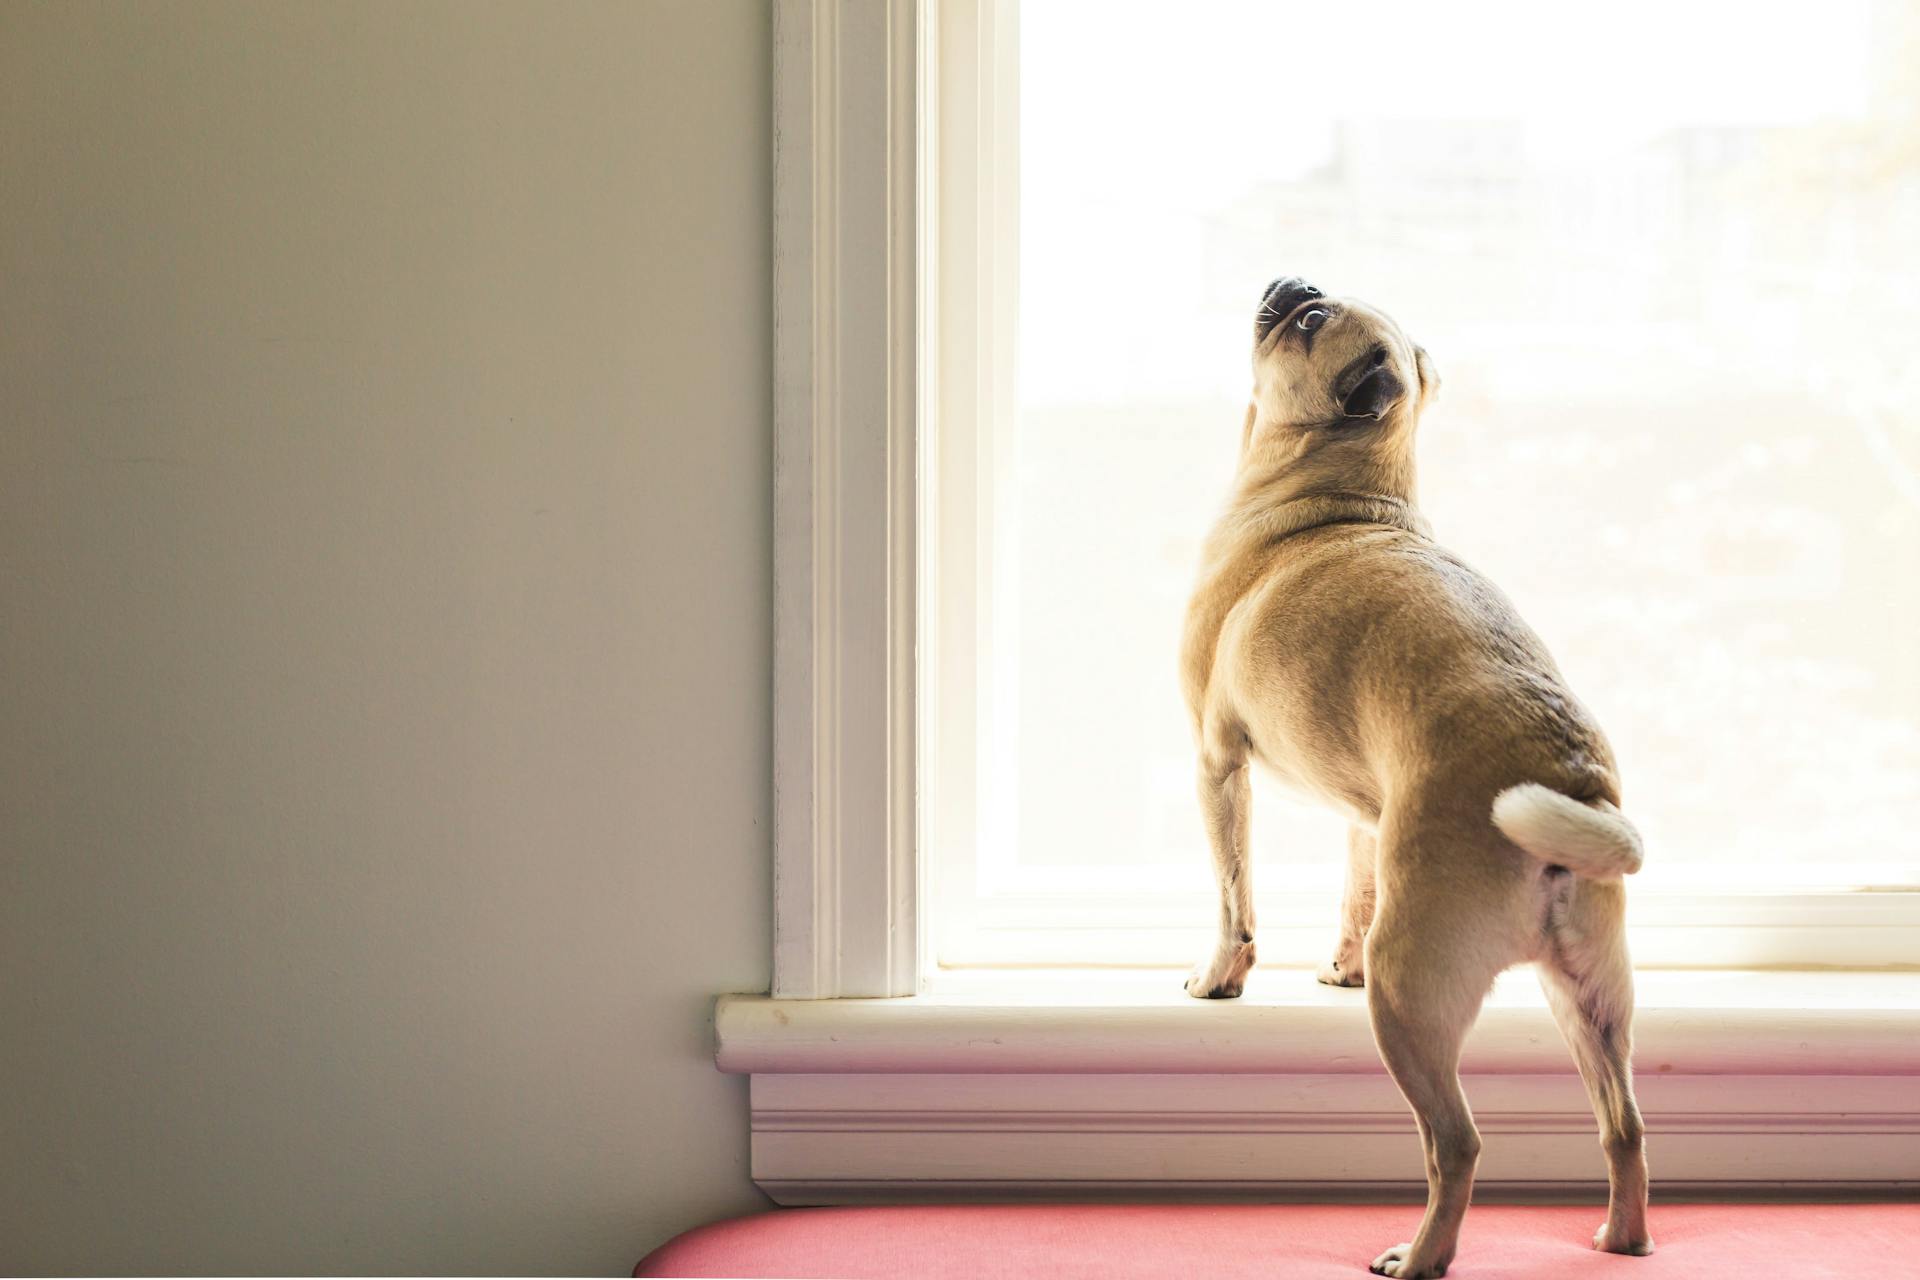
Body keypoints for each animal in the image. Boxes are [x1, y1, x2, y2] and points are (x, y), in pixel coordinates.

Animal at [1182, 276, 1651, 1274]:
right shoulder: (1367, 818)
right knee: (1623, 1126)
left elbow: (1235, 898)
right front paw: (1337, 965)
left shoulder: (1216, 764)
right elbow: (1354, 892)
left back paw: (1422, 1256)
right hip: (1590, 998)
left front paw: (1219, 977)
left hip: (1411, 997)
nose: (1293, 284)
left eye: (1312, 322)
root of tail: (1567, 774)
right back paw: (1621, 1238)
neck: (1347, 496)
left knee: (1456, 1144)